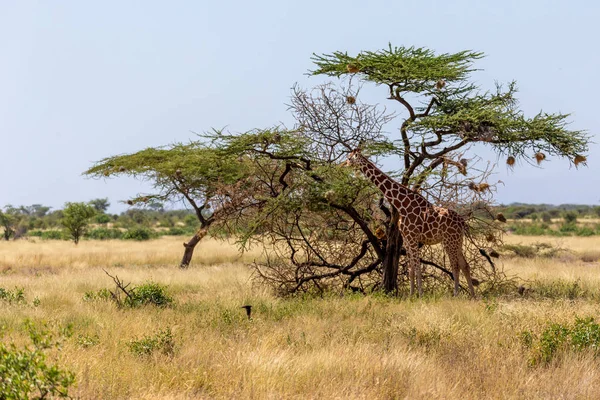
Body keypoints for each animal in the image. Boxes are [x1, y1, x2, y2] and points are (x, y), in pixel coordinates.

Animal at [344, 149, 476, 296]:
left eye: (349, 158)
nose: (343, 165)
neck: (401, 204)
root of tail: (462, 222)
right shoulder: (406, 239)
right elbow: (411, 268)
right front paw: (411, 295)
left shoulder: (413, 237)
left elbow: (417, 267)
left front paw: (421, 295)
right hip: (457, 241)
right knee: (465, 265)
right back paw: (473, 296)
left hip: (449, 241)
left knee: (455, 266)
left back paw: (455, 295)